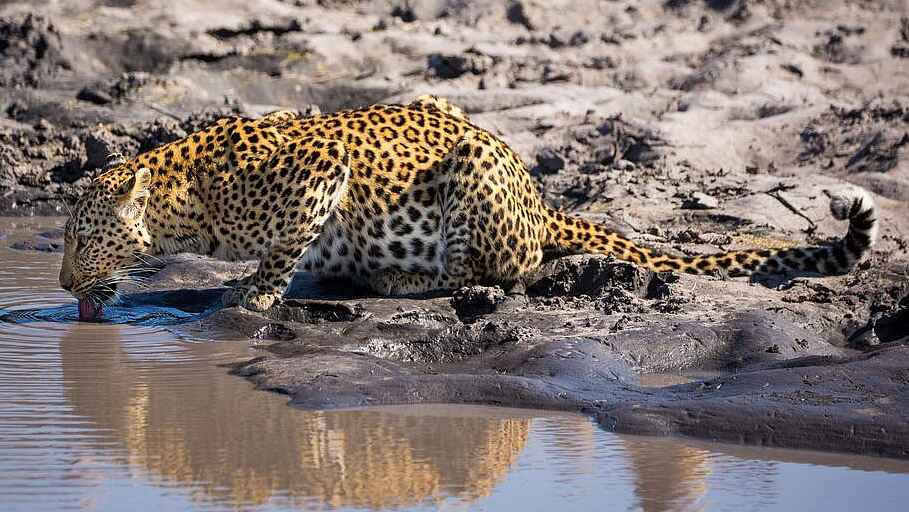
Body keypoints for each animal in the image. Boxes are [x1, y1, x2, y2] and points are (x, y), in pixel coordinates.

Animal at [58, 94, 878, 319]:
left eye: (81, 242)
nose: (63, 285)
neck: (188, 199)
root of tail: (541, 201)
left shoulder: (323, 168)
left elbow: (285, 246)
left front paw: (254, 294)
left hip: (473, 179)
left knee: (490, 272)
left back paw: (391, 279)